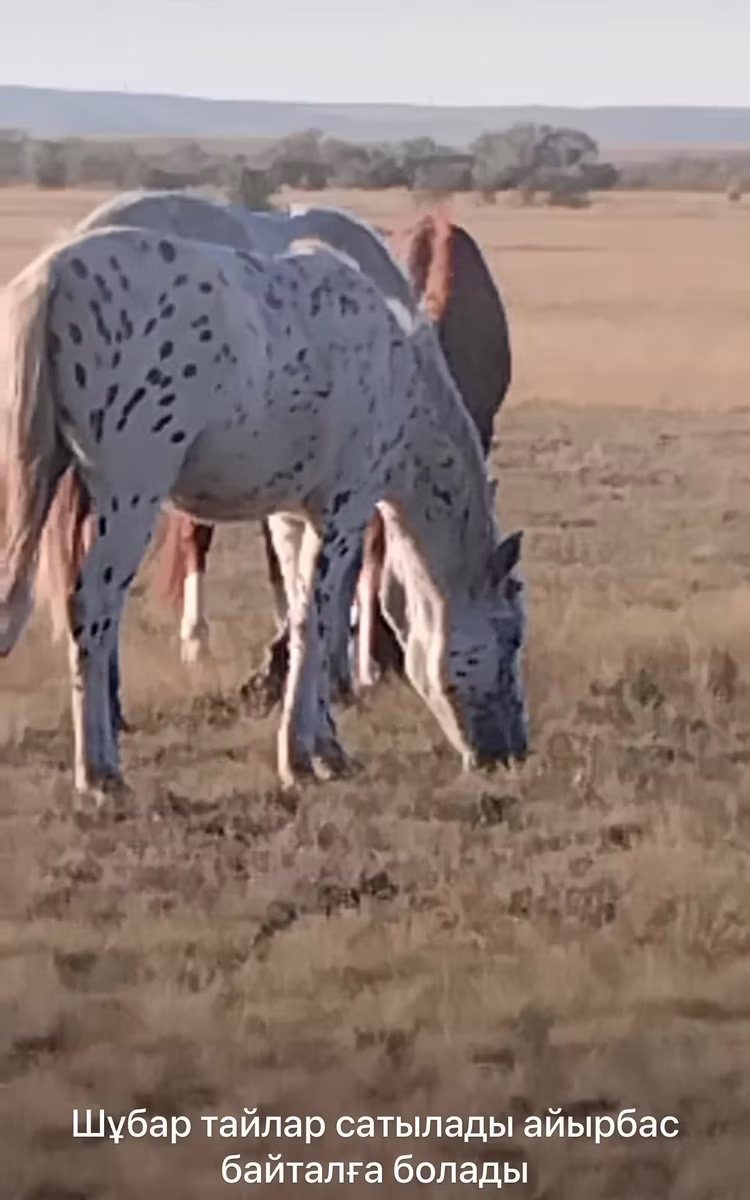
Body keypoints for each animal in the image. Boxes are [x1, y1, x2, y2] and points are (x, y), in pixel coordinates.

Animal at [0, 224, 528, 799]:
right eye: (511, 636)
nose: (511, 753)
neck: (394, 372)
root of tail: (54, 273)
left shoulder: (292, 520)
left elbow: (301, 614)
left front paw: (326, 748)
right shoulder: (343, 511)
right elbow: (318, 620)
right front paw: (300, 759)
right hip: (130, 500)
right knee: (93, 609)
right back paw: (101, 773)